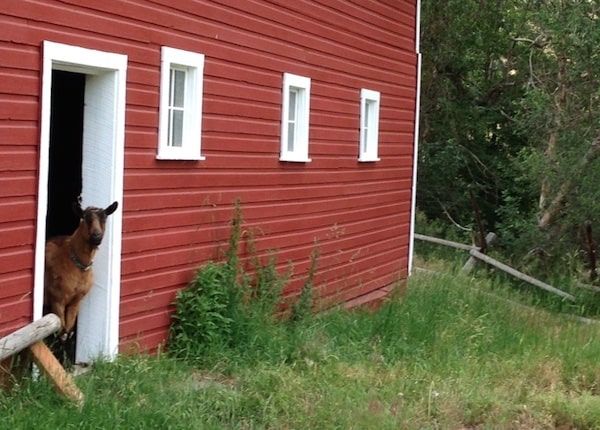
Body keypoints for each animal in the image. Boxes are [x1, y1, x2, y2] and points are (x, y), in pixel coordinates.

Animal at [43, 202, 118, 340]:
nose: (96, 236)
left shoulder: (77, 300)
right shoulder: (57, 299)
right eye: (85, 218)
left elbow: (68, 330)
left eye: (104, 218)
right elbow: (62, 333)